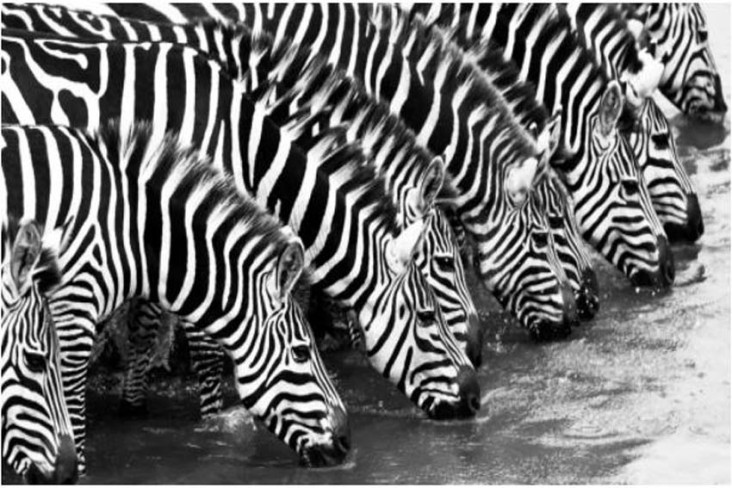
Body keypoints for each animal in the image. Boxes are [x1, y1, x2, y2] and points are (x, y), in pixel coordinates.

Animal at [2, 31, 480, 422]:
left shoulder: (157, 227)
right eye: (427, 314)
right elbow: (209, 347)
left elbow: (147, 320)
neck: (247, 148)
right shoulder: (186, 225)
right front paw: (214, 426)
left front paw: (132, 404)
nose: (474, 396)